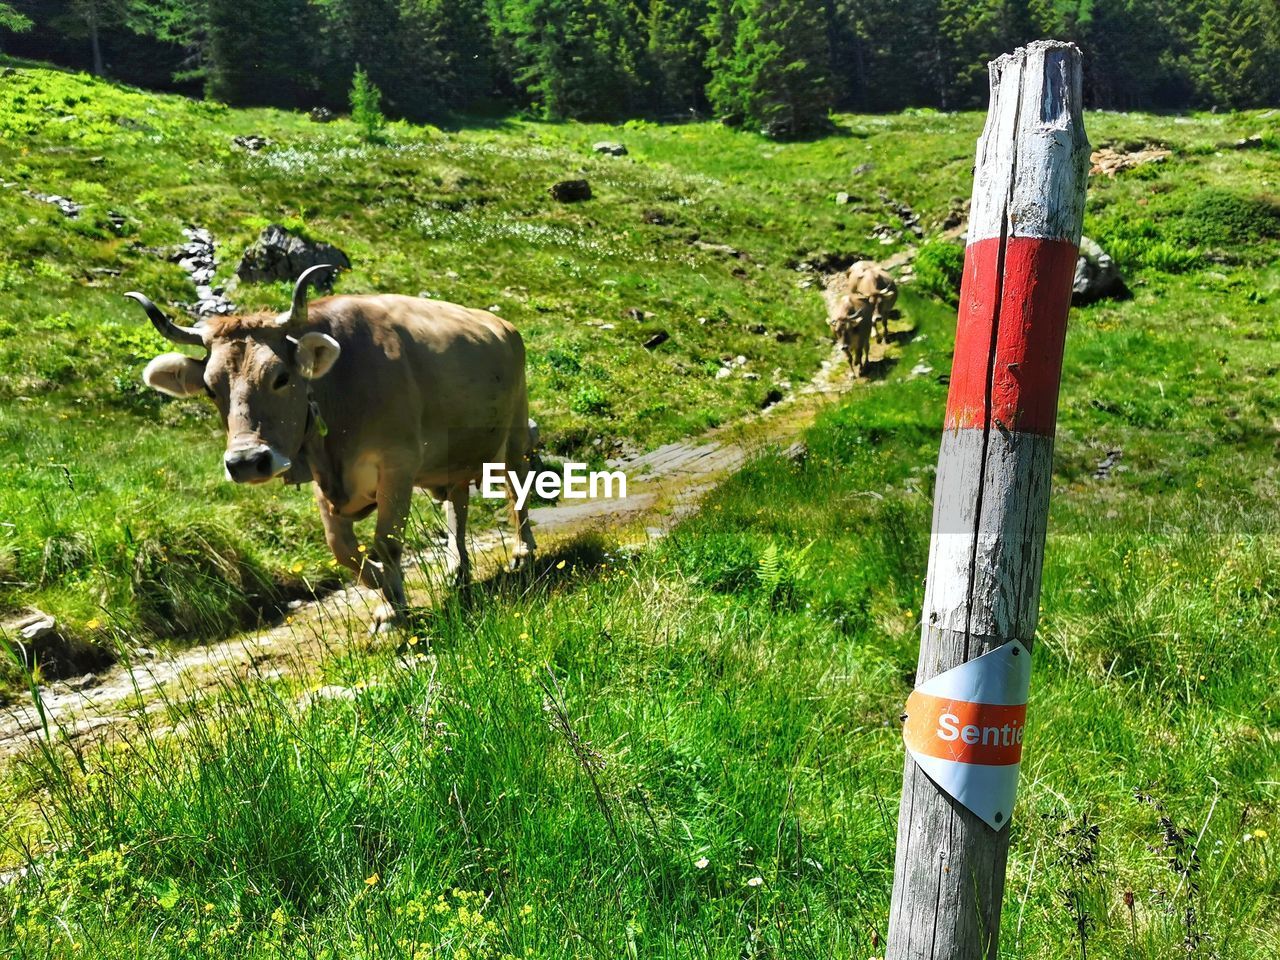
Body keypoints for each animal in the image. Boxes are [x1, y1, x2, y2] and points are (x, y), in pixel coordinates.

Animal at [133, 267, 540, 627]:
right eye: (210, 387)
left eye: (281, 377)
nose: (247, 461)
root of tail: (502, 324)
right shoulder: (322, 480)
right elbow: (343, 550)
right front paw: (387, 600)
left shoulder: (398, 464)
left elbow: (385, 543)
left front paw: (393, 605)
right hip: (454, 459)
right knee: (457, 507)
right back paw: (457, 570)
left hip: (516, 433)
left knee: (515, 488)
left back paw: (523, 552)